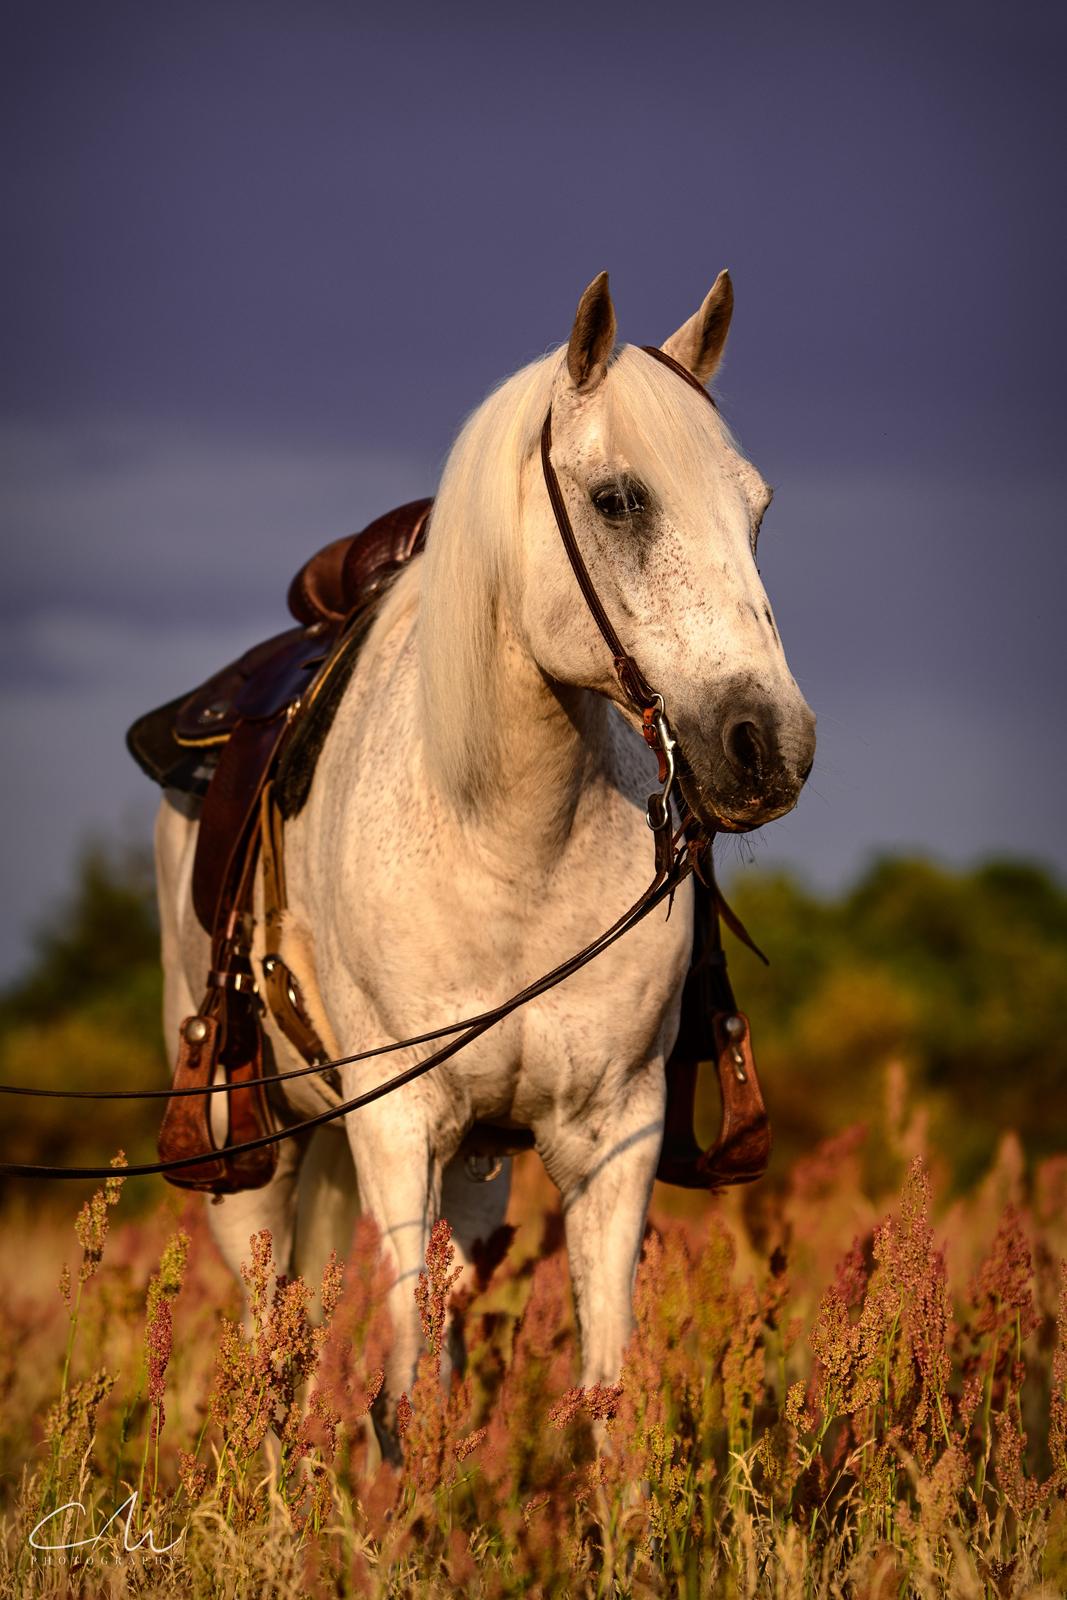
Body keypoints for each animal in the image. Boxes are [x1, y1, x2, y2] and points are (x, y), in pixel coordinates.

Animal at [151, 272, 819, 1427]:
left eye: (757, 509)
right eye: (619, 500)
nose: (768, 744)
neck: (510, 851)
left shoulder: (610, 1135)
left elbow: (599, 1395)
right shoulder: (397, 1124)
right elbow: (397, 1393)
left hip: (475, 1169)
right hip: (257, 1167)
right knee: (273, 1354)